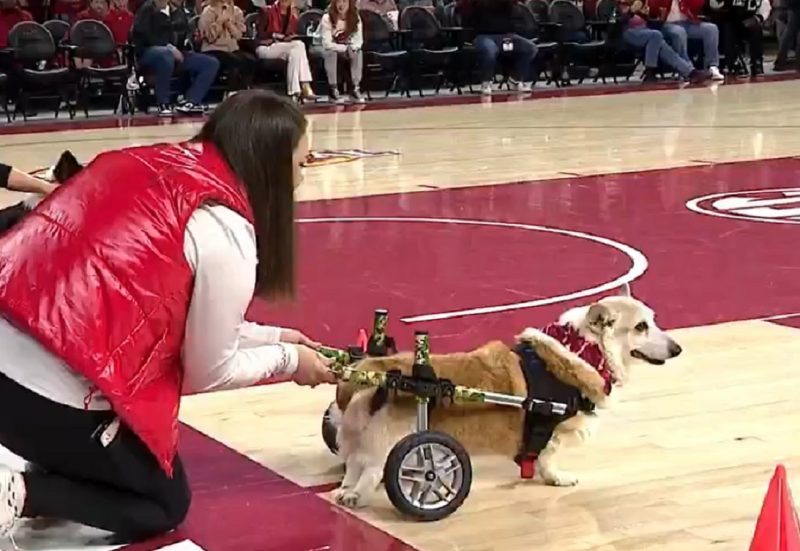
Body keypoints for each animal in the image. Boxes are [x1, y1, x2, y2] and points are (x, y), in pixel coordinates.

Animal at [324, 286, 680, 512]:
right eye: (641, 327)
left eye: (653, 321)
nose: (677, 349)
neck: (584, 348)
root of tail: (373, 371)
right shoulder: (553, 431)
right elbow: (548, 458)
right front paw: (558, 479)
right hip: (393, 442)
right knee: (372, 470)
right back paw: (362, 496)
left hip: (358, 438)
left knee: (353, 465)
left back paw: (345, 493)